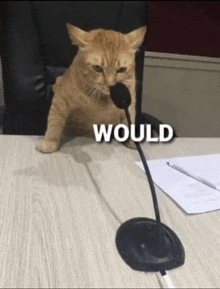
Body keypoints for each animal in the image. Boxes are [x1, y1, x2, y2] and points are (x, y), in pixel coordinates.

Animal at [38, 23, 147, 153]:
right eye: (97, 68)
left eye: (121, 69)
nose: (110, 84)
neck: (103, 100)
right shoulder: (60, 97)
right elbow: (55, 121)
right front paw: (50, 142)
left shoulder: (129, 105)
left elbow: (130, 125)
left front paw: (133, 142)